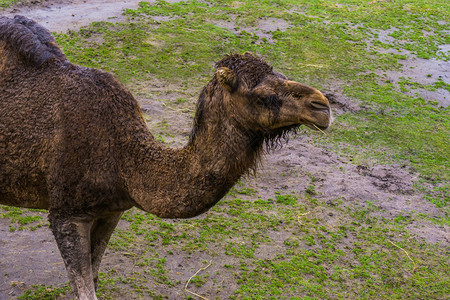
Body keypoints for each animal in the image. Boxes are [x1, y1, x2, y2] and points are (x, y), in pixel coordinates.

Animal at [0, 15, 330, 300]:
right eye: (262, 96)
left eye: (283, 75)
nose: (322, 107)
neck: (123, 159)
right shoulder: (66, 213)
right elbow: (85, 289)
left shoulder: (111, 209)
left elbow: (94, 275)